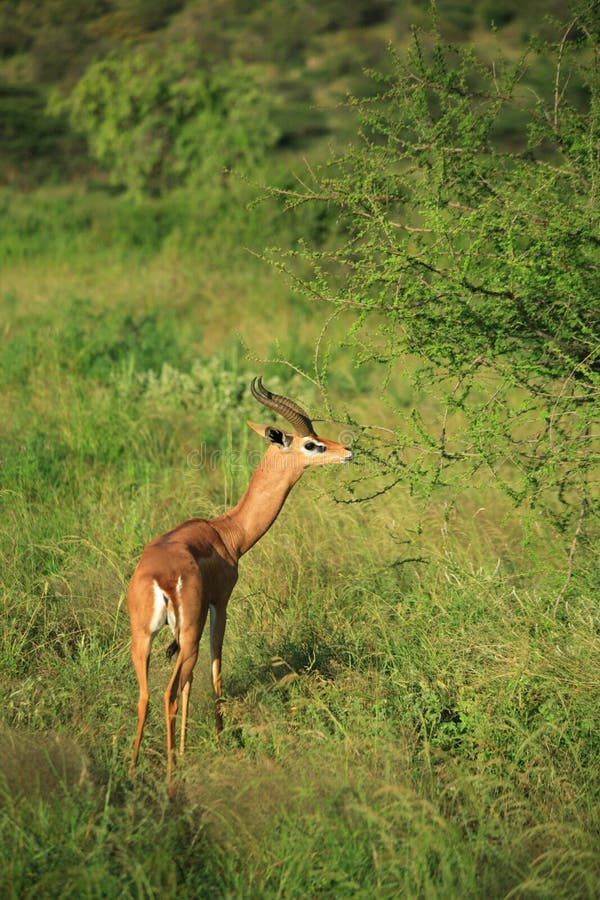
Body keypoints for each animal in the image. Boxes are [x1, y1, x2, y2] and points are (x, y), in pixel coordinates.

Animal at [127, 377, 352, 787]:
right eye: (311, 443)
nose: (347, 451)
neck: (225, 532)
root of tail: (160, 579)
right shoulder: (221, 604)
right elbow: (215, 671)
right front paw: (218, 740)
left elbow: (191, 683)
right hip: (186, 633)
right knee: (170, 692)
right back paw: (171, 773)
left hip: (144, 638)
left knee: (146, 695)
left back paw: (134, 769)